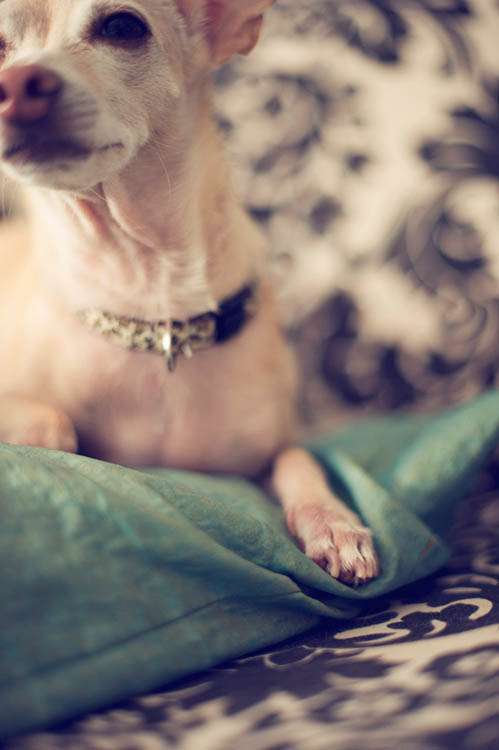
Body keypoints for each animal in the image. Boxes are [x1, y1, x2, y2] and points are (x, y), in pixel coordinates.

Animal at [0, 0, 379, 586]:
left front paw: (334, 523)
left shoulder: (270, 448)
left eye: (122, 26)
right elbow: (53, 422)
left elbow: (300, 459)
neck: (151, 293)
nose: (17, 84)